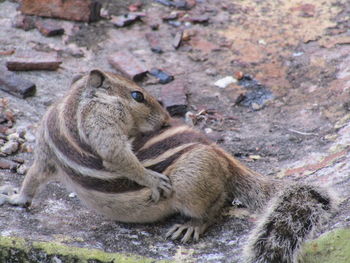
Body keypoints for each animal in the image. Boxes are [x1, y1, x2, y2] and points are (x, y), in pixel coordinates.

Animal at [0, 69, 336, 262]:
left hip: (190, 181)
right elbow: (39, 176)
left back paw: (192, 224)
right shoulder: (65, 139)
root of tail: (220, 155)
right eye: (137, 95)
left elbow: (114, 154)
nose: (165, 120)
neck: (74, 100)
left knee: (218, 204)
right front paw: (17, 198)